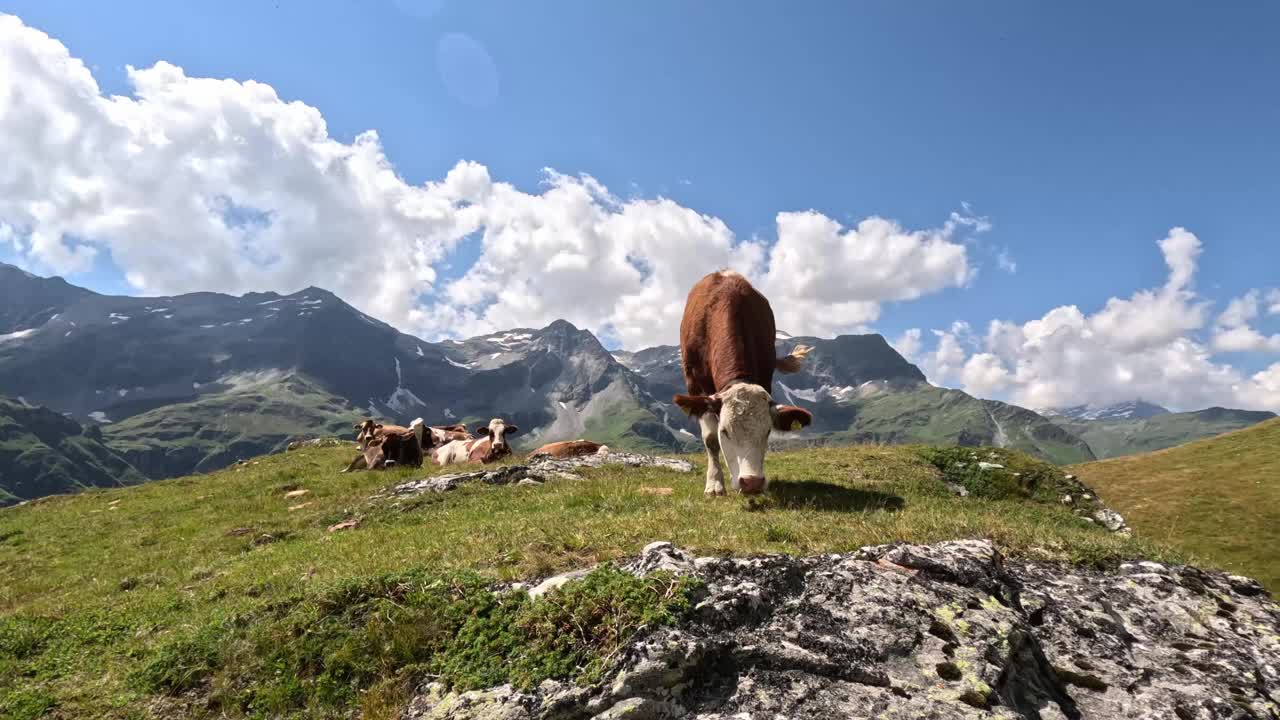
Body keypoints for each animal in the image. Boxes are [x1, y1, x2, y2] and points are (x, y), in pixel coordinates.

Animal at [675, 269, 814, 491]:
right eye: (725, 431)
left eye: (767, 431)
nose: (752, 483)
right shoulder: (696, 387)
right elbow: (710, 440)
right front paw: (714, 484)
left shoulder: (766, 375)